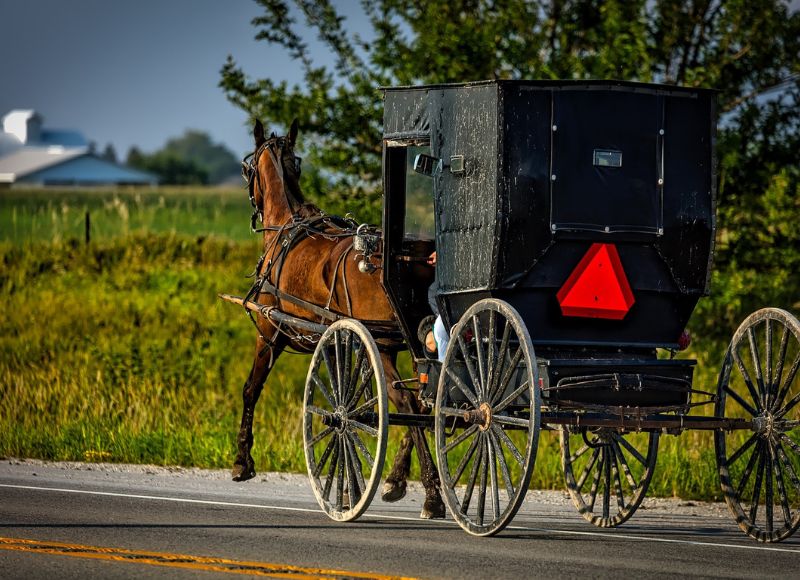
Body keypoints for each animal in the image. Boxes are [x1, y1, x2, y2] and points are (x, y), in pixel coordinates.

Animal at [228, 119, 446, 520]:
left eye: (247, 169)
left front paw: (242, 461)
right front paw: (350, 486)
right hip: (407, 345)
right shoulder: (339, 343)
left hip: (384, 347)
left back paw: (432, 494)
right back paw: (397, 481)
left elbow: (251, 389)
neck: (286, 227)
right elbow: (355, 406)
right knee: (426, 403)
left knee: (409, 404)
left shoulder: (269, 333)